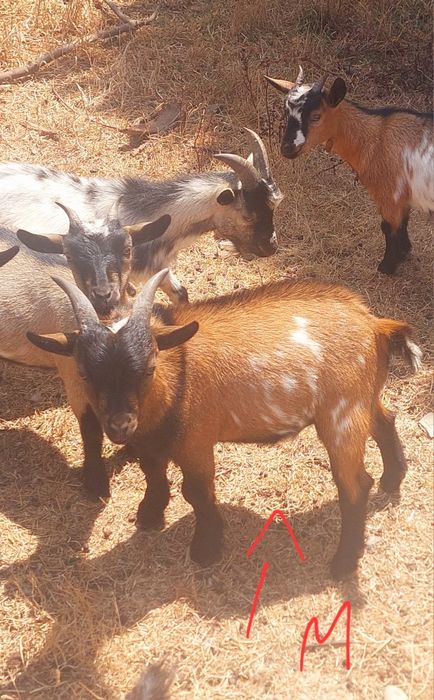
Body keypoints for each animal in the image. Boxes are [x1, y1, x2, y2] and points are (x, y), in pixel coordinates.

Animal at [0, 129, 283, 302]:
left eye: (274, 206)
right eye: (248, 216)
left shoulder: (158, 267)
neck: (141, 211)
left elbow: (180, 294)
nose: (271, 247)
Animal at [28, 270, 422, 579]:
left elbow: (197, 493)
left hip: (341, 414)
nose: (120, 425)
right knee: (385, 420)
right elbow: (152, 474)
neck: (176, 375)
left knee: (354, 484)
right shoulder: (152, 442)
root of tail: (374, 324)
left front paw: (206, 548)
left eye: (150, 367)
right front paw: (150, 515)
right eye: (84, 373)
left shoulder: (196, 441)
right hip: (364, 397)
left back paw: (343, 563)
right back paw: (393, 479)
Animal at [265, 67, 434, 274]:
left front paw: (386, 267)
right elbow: (403, 224)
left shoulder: (389, 195)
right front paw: (404, 253)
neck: (376, 137)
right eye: (287, 114)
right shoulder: (402, 197)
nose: (287, 148)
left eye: (316, 116)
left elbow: (388, 227)